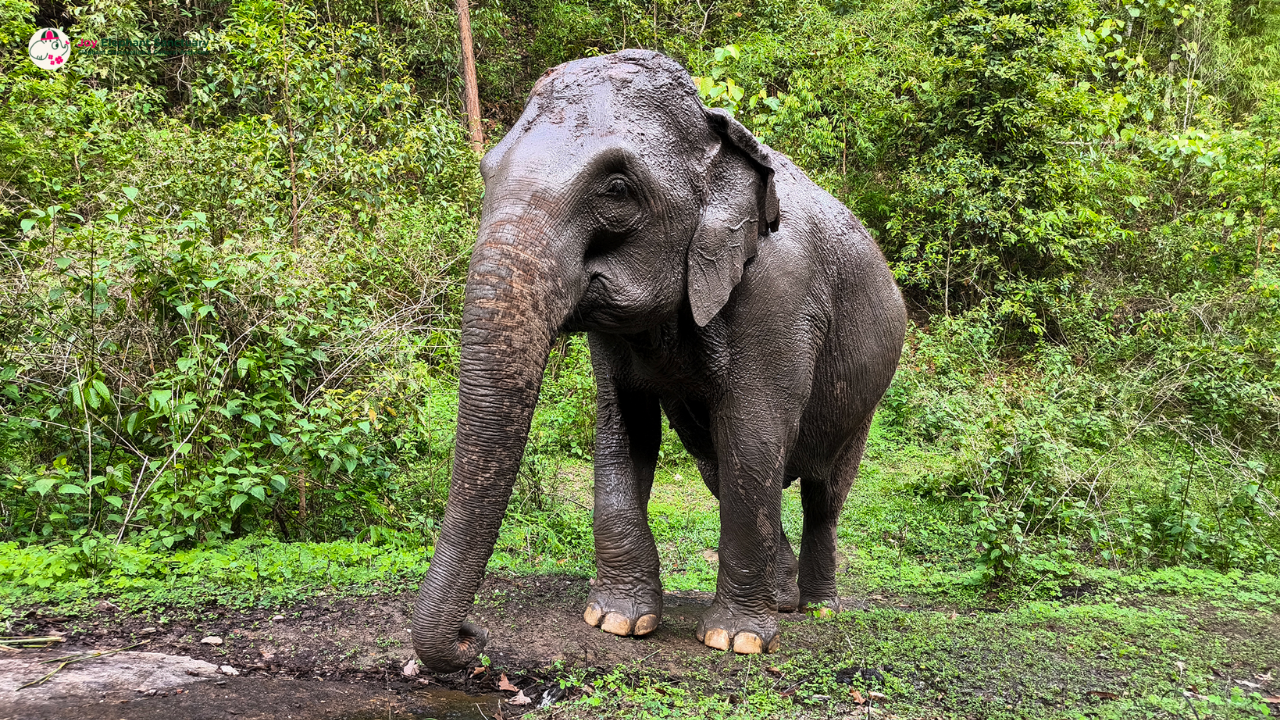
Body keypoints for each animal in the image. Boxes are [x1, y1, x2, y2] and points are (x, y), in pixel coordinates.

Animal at [414, 49, 906, 666]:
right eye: (486, 172)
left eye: (617, 189)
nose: (473, 637)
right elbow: (624, 428)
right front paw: (616, 621)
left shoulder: (782, 294)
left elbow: (753, 431)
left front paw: (736, 640)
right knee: (729, 474)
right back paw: (784, 598)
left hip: (867, 394)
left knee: (824, 493)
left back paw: (817, 608)